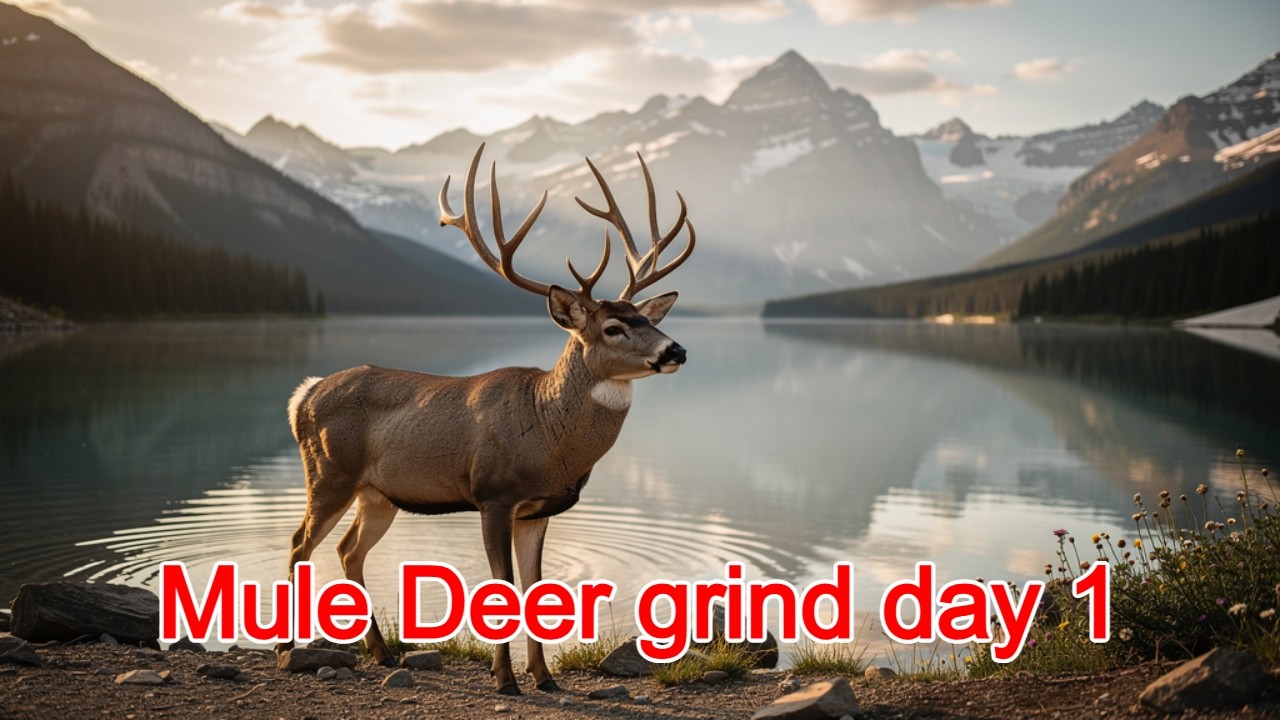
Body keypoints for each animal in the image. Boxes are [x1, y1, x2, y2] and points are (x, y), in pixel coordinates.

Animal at [278, 143, 695, 695]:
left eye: (648, 318)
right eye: (612, 328)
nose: (676, 350)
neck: (547, 438)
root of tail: (303, 395)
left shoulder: (537, 510)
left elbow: (537, 587)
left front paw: (545, 677)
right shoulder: (493, 493)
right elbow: (503, 586)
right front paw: (505, 679)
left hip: (379, 493)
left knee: (348, 550)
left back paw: (382, 653)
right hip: (329, 473)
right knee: (299, 542)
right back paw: (286, 649)